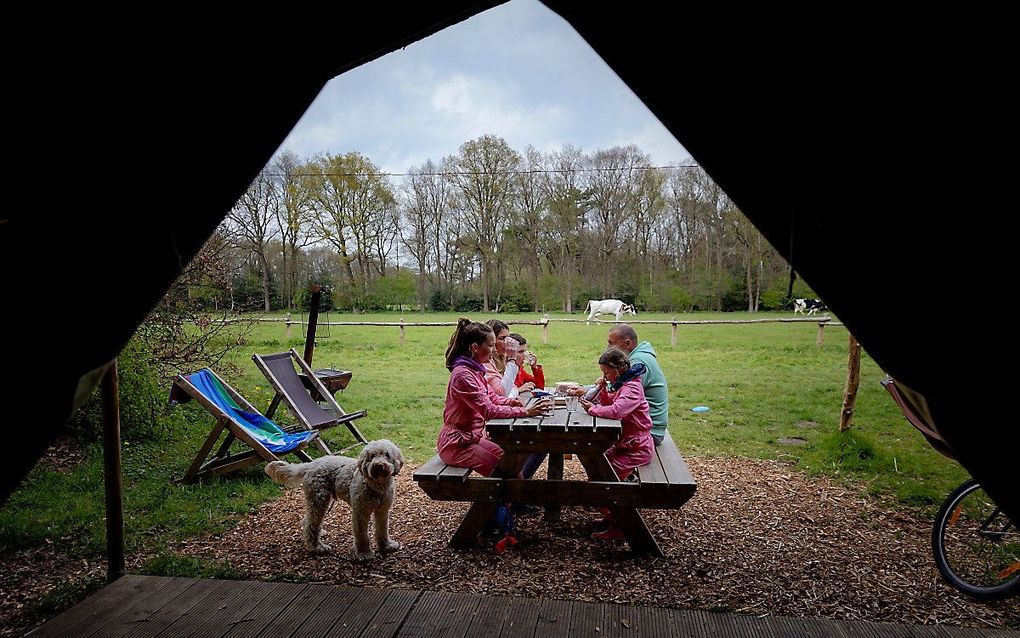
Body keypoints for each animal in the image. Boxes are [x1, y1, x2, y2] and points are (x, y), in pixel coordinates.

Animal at [267, 440, 401, 559]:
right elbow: (362, 535)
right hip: (319, 500)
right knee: (311, 524)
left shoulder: (382, 511)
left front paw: (386, 545)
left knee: (307, 521)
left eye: (387, 454)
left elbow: (382, 530)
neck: (376, 486)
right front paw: (364, 553)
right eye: (372, 456)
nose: (379, 465)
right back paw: (317, 547)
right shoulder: (360, 513)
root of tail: (311, 464)